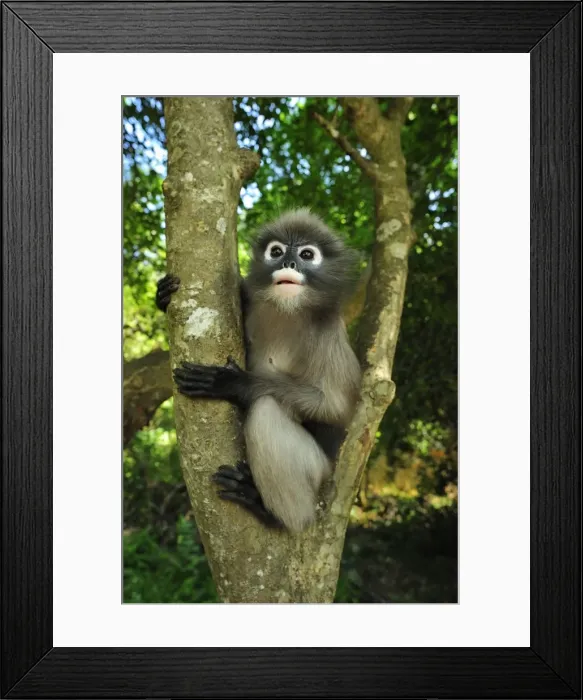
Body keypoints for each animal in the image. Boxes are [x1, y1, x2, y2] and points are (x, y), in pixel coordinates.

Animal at [157, 209, 362, 533]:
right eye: (276, 252)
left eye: (306, 254)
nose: (288, 263)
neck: (286, 310)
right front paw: (163, 297)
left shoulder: (328, 331)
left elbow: (336, 407)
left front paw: (232, 382)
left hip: (318, 470)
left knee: (266, 411)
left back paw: (267, 509)